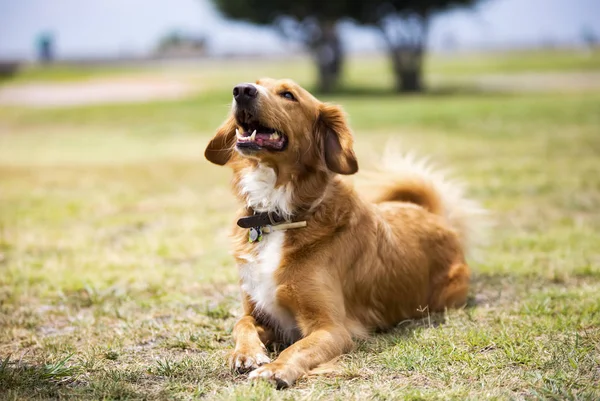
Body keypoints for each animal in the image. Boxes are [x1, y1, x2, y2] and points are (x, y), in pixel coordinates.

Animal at [204, 78, 486, 388]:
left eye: (288, 95)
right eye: (254, 84)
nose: (241, 90)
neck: (279, 216)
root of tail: (432, 215)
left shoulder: (332, 328)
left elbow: (297, 347)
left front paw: (275, 369)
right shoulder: (258, 311)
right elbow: (240, 322)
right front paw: (246, 354)